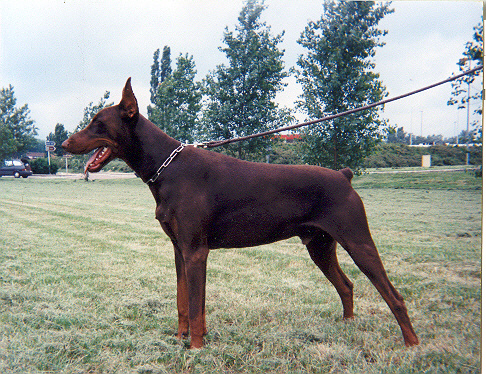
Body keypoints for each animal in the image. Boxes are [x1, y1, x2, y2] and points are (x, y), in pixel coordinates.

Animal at [61, 77, 418, 350]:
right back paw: (346, 328)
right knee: (346, 286)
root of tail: (343, 175)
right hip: (319, 245)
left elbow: (196, 306)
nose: (62, 144)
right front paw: (180, 340)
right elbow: (183, 301)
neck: (166, 167)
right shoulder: (179, 250)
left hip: (357, 241)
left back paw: (411, 344)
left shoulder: (196, 251)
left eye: (98, 123)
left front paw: (196, 349)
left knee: (393, 295)